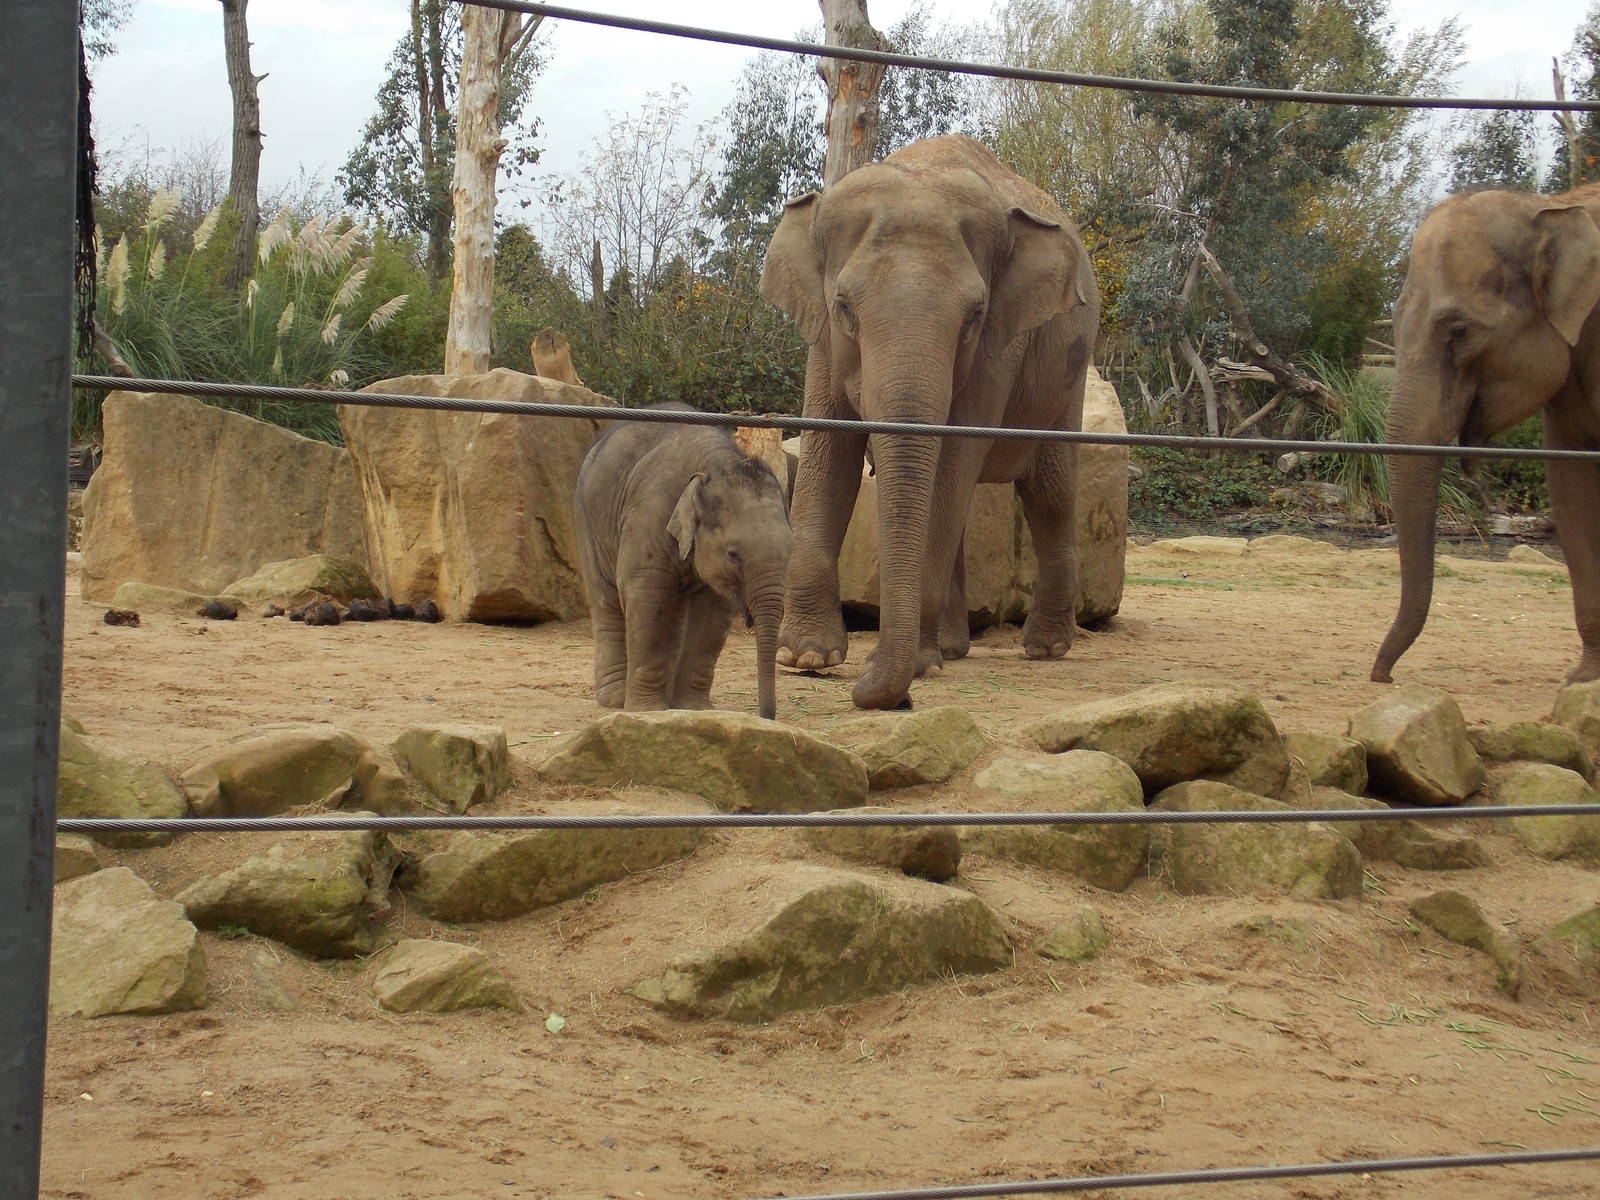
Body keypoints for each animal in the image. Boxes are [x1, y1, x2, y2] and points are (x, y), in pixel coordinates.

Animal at [573, 405, 793, 719]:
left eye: (790, 552)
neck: (717, 462)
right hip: (588, 520)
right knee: (607, 600)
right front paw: (648, 713)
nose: (767, 716)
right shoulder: (649, 515)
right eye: (733, 554)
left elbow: (713, 617)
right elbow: (646, 599)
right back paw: (616, 699)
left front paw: (694, 710)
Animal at [760, 134, 1099, 710]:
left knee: (1048, 491)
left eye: (974, 317)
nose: (869, 689)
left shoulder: (999, 349)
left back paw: (1044, 648)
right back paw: (954, 649)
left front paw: (913, 665)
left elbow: (951, 465)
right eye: (844, 307)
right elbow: (830, 457)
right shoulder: (823, 341)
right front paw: (806, 657)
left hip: (1068, 380)